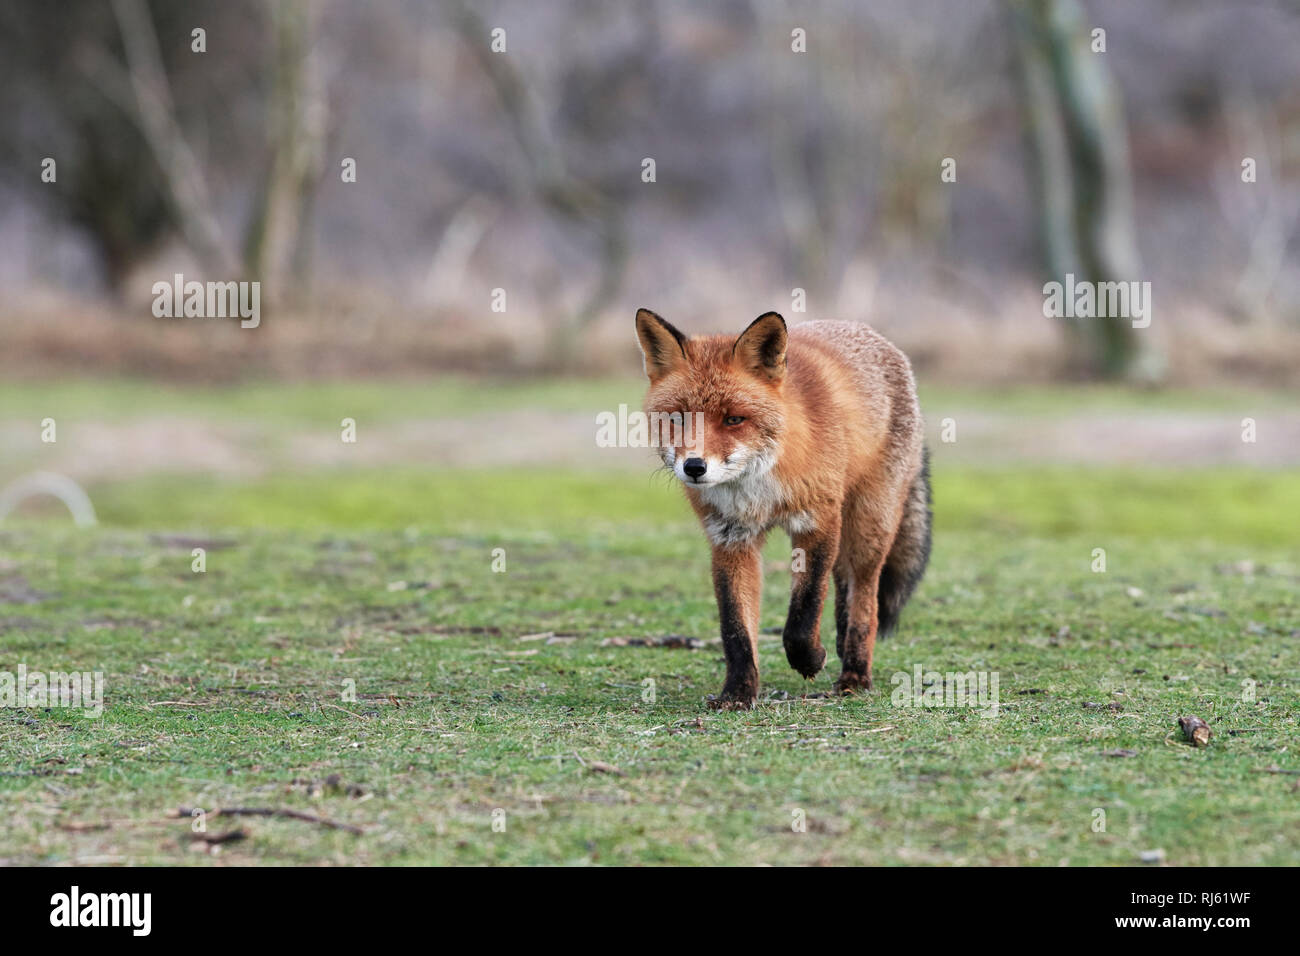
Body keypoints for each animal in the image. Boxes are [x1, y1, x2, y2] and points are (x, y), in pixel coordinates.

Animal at [635, 308, 931, 710]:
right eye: (678, 418)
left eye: (734, 419)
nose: (694, 467)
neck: (757, 487)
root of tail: (869, 333)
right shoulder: (730, 539)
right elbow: (736, 628)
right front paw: (738, 694)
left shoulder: (818, 522)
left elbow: (804, 612)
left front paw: (809, 659)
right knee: (843, 589)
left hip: (869, 526)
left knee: (864, 600)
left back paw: (855, 675)